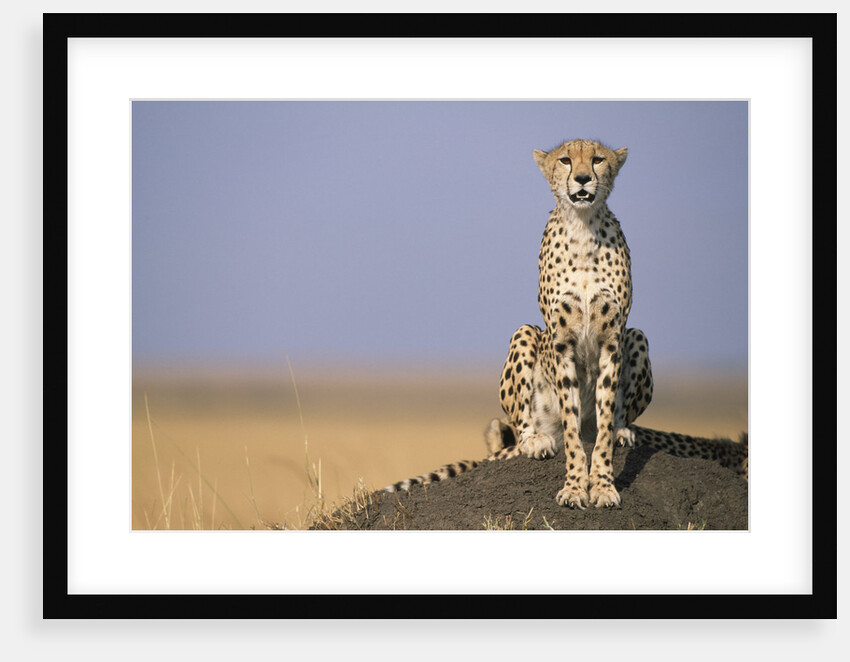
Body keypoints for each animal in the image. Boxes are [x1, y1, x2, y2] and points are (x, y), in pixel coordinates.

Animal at [385, 139, 747, 505]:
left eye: (598, 159)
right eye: (565, 160)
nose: (584, 178)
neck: (583, 228)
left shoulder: (612, 341)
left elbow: (602, 426)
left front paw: (602, 485)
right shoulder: (562, 344)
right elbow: (571, 429)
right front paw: (575, 487)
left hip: (637, 337)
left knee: (613, 416)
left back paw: (622, 431)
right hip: (525, 336)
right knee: (524, 427)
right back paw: (535, 440)